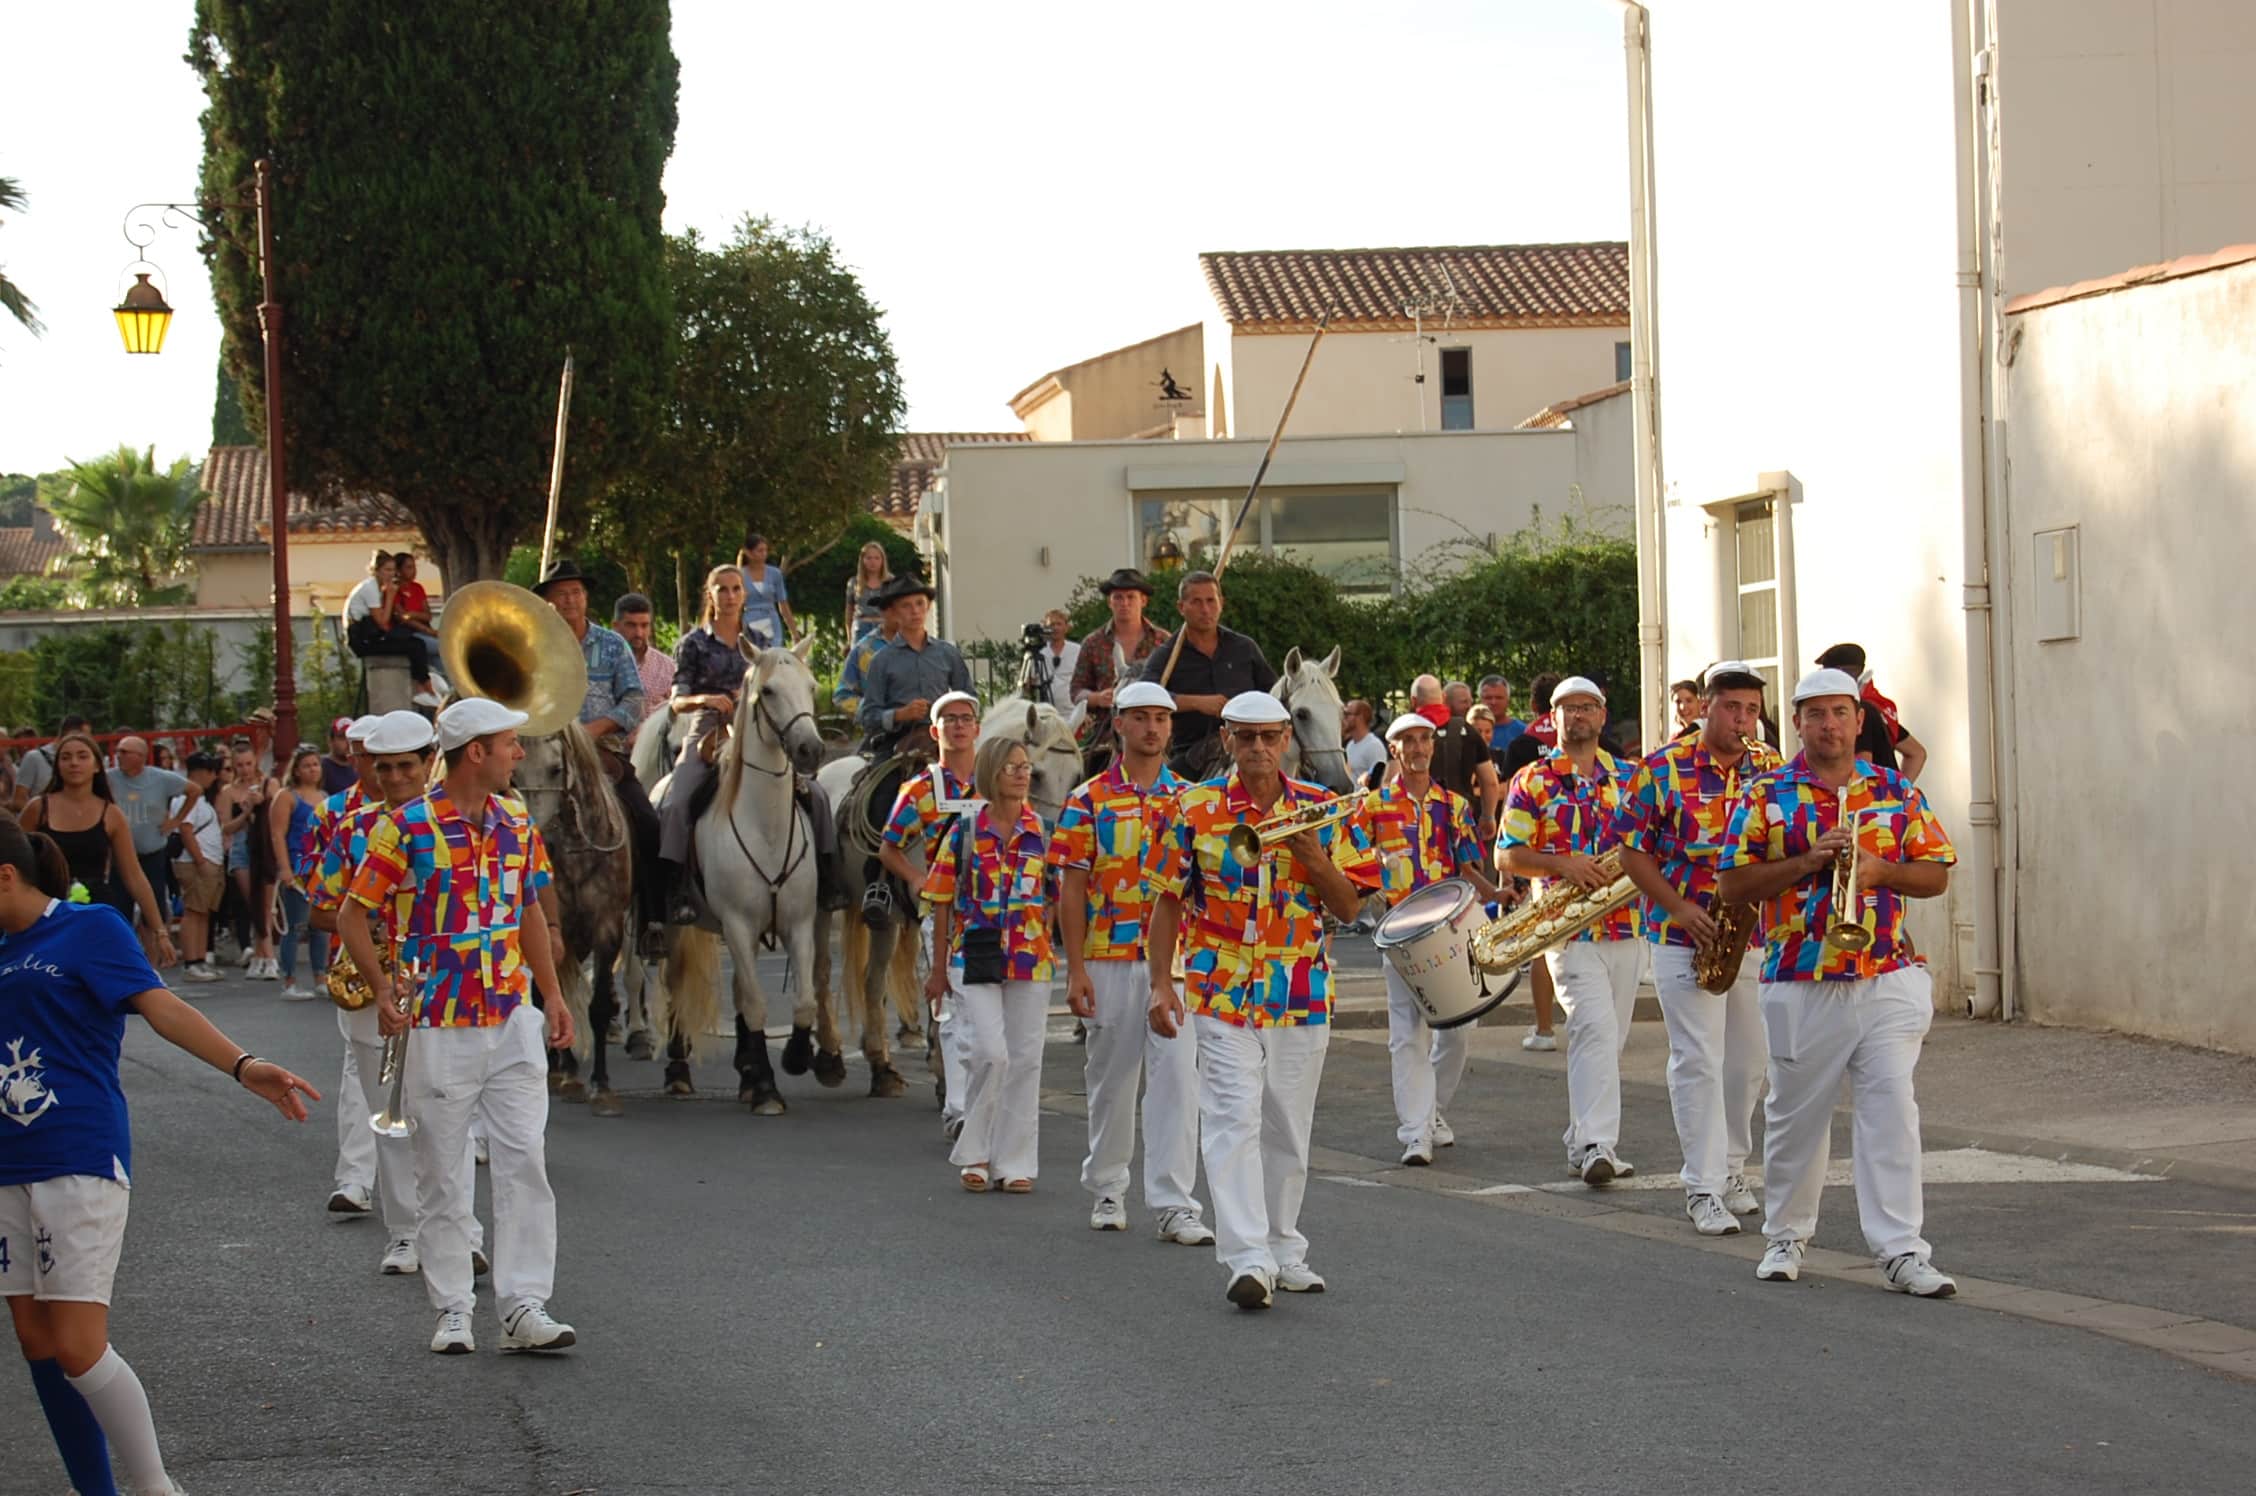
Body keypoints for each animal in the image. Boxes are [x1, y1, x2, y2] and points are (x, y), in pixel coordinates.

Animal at [645, 636, 839, 1119]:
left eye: (811, 686)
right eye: (767, 691)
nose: (810, 750)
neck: (764, 824)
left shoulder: (798, 924)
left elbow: (803, 1000)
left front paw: (793, 1058)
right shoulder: (736, 924)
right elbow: (754, 1004)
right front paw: (767, 1088)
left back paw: (746, 1071)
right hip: (678, 927)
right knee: (676, 984)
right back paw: (680, 1072)